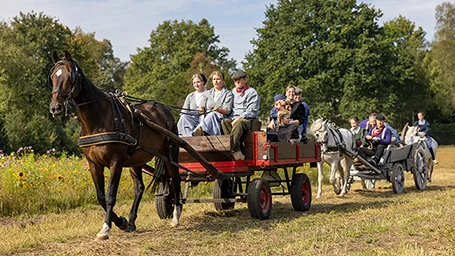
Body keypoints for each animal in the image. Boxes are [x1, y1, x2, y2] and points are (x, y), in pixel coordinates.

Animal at [49, 51, 182, 241]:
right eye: (52, 77)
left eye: (70, 77)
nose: (55, 108)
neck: (98, 120)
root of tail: (164, 108)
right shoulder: (94, 164)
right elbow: (100, 196)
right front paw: (121, 221)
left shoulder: (116, 163)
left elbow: (111, 195)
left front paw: (105, 228)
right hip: (137, 159)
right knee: (139, 188)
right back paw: (132, 221)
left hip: (170, 153)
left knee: (176, 179)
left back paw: (176, 216)